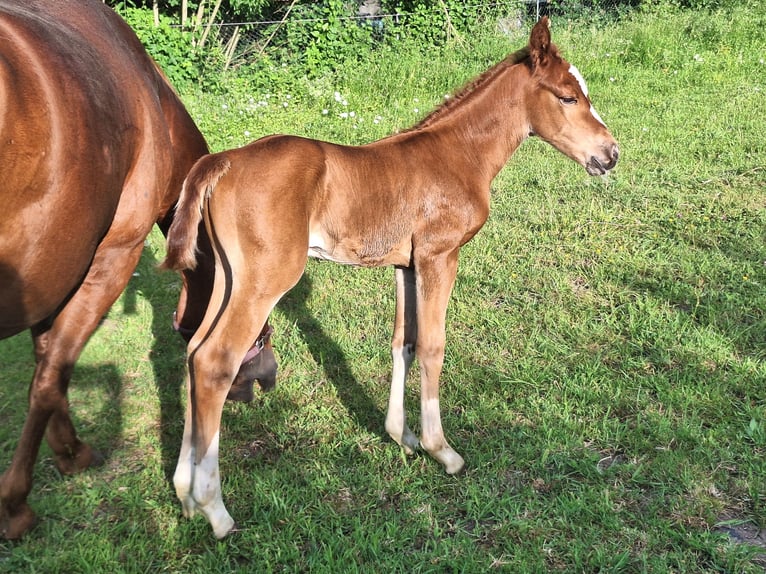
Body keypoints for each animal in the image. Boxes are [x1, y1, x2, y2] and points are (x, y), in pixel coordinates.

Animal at [0, 0, 277, 538]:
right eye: (262, 322)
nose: (266, 378)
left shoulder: (54, 267)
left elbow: (46, 364)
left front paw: (67, 451)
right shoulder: (111, 255)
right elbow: (52, 373)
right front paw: (18, 503)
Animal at [162, 17, 619, 538]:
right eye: (567, 96)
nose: (610, 153)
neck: (459, 153)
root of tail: (224, 161)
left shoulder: (406, 264)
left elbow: (404, 341)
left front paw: (403, 437)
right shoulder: (440, 256)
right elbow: (434, 345)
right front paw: (442, 451)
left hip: (227, 277)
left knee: (194, 351)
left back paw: (184, 493)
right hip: (265, 280)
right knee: (214, 361)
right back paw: (214, 508)